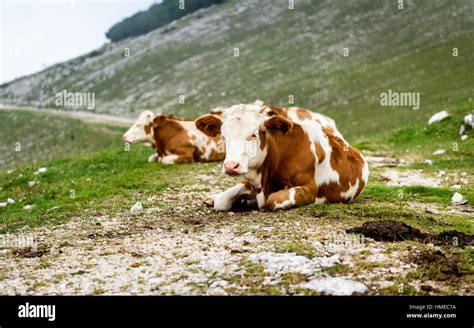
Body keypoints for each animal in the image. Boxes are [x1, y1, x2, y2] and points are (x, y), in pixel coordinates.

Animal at [194, 105, 368, 213]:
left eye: (253, 135)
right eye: (223, 136)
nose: (231, 166)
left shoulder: (310, 189)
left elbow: (274, 200)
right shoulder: (252, 182)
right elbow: (222, 201)